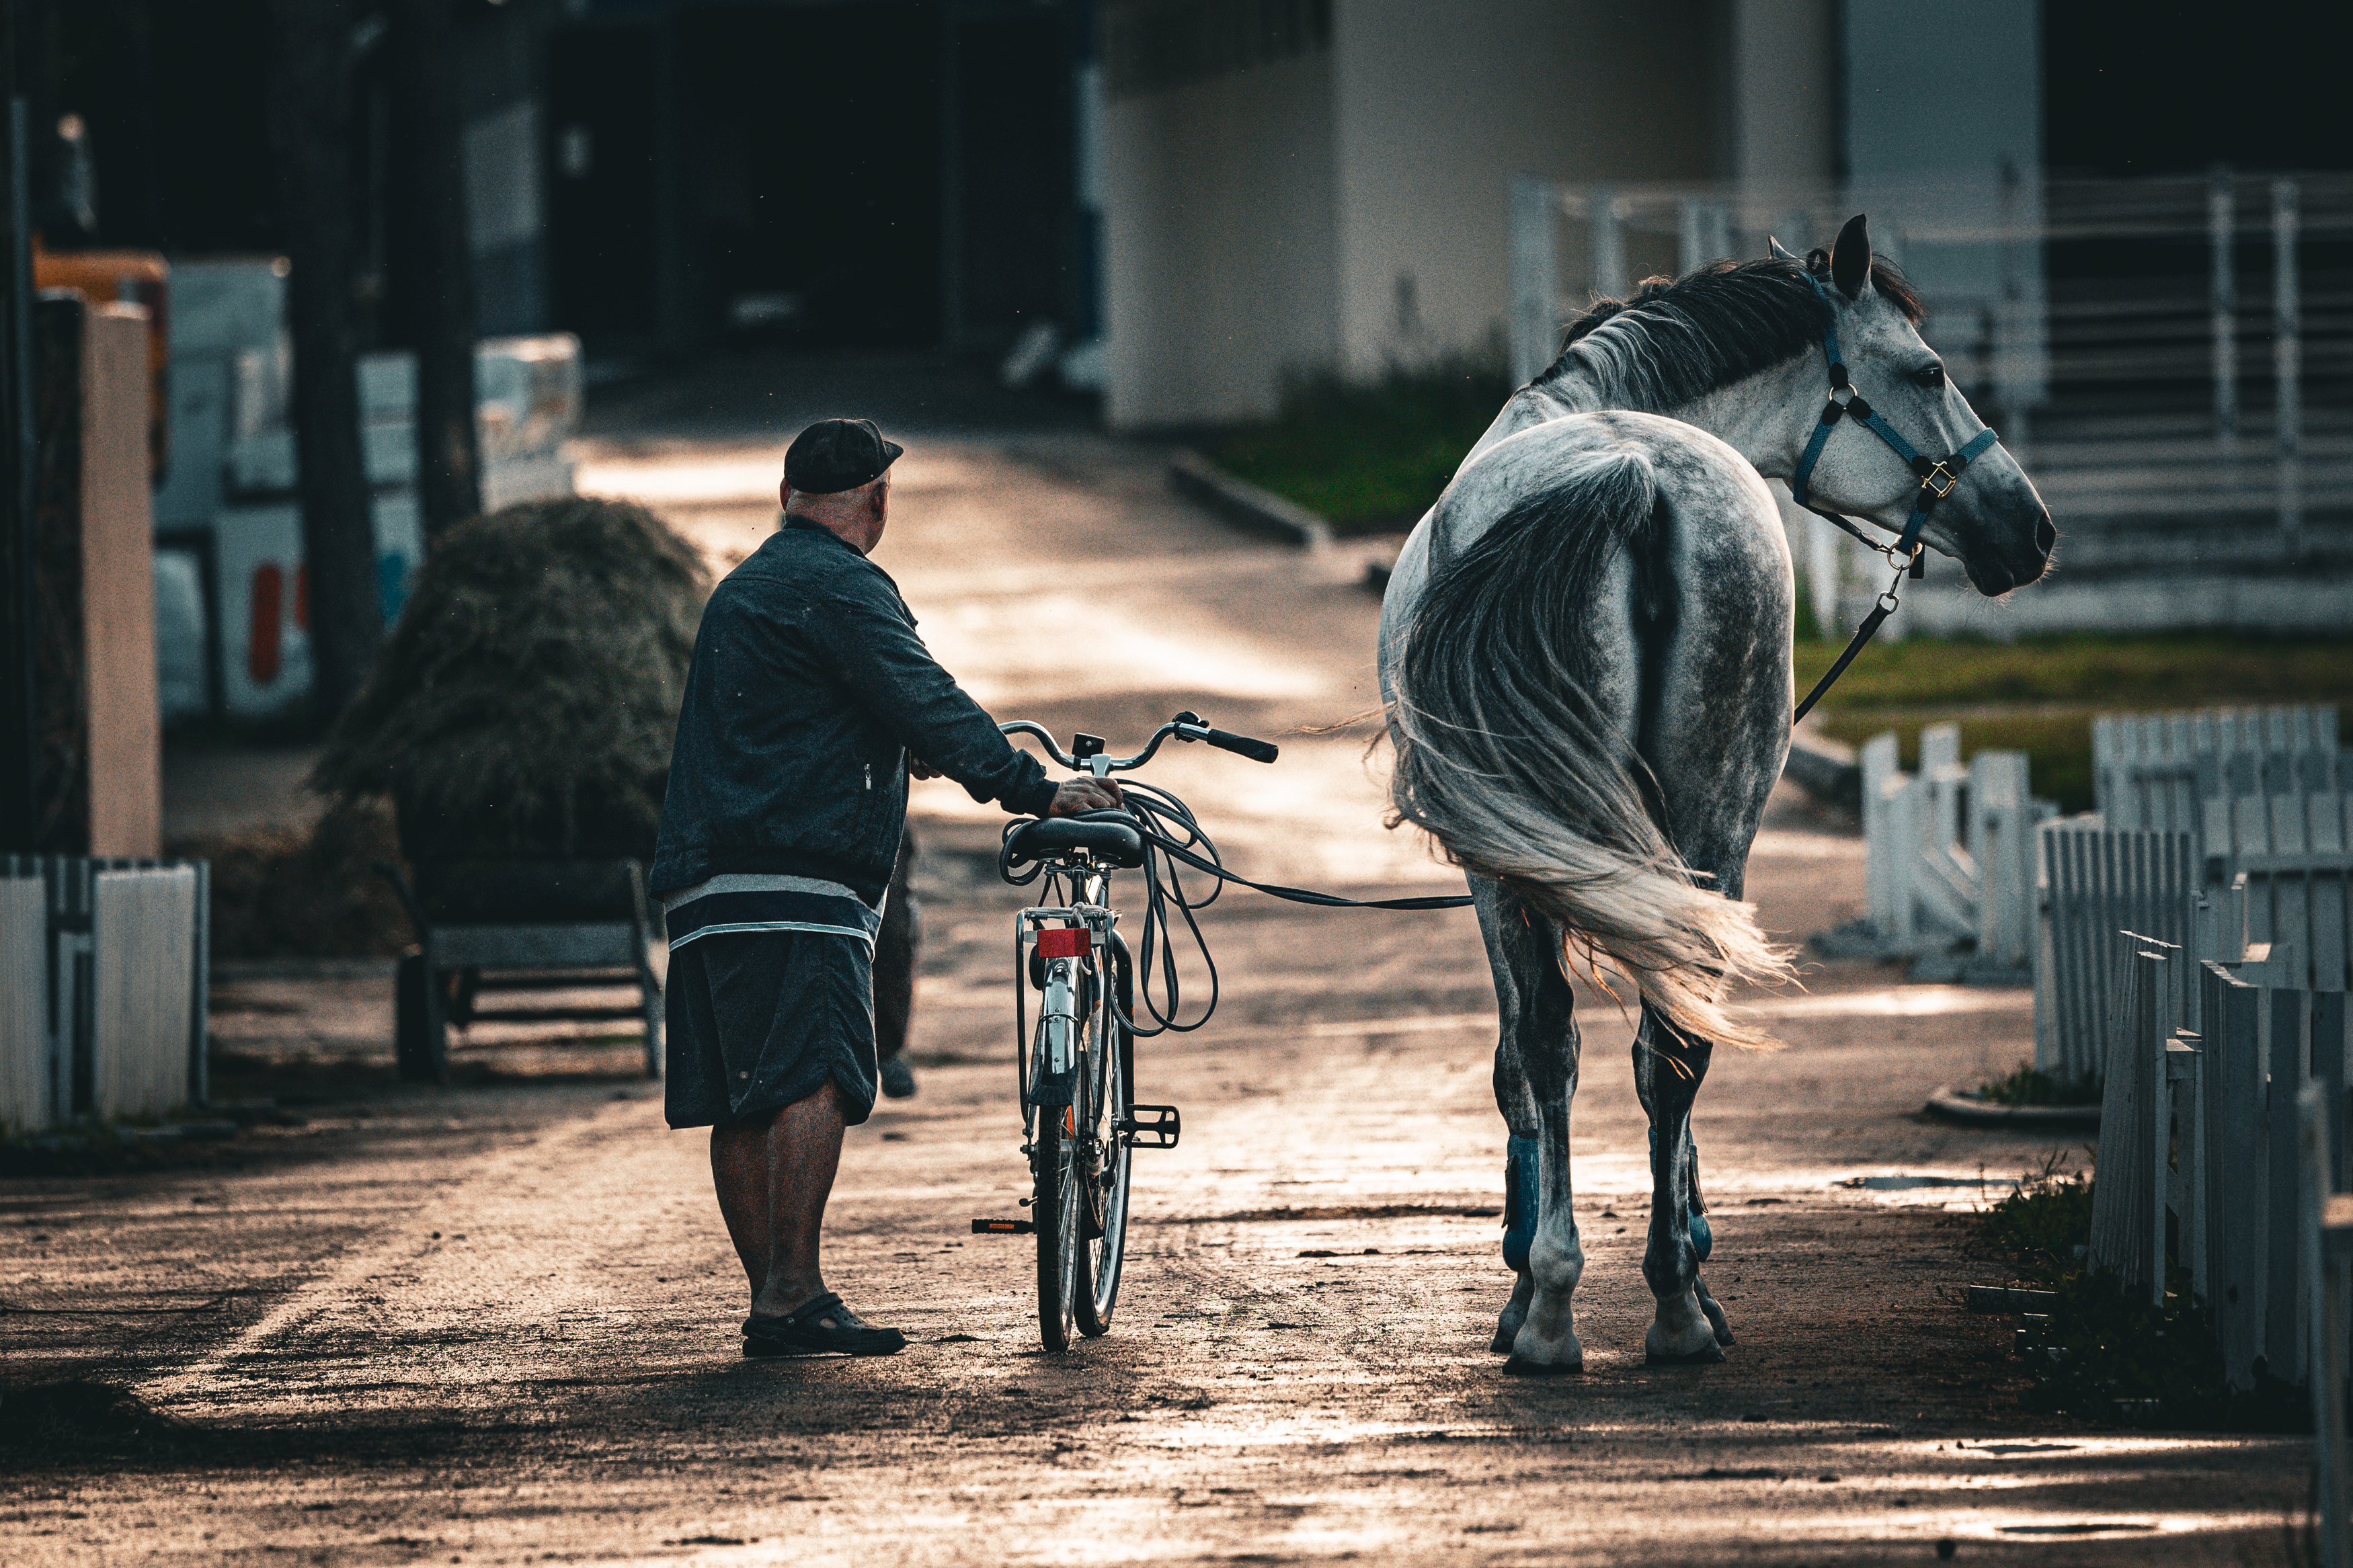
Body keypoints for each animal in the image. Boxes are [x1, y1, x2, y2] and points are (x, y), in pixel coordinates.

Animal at [1374, 217, 2061, 1372]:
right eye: (1928, 371)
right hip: (1714, 819)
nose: (2033, 529)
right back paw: (1676, 1307)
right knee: (1676, 1039)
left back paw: (1561, 1312)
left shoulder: (1492, 868)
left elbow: (1523, 1061)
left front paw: (1527, 1283)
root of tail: (1634, 476)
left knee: (1576, 1041)